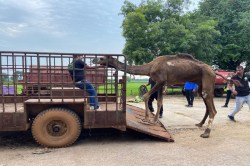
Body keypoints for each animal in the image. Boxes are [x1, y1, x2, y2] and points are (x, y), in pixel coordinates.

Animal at [93, 52, 228, 137]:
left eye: (102, 58)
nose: (94, 59)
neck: (150, 67)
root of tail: (214, 71)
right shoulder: (162, 84)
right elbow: (159, 101)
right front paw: (154, 120)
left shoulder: (160, 80)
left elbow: (145, 96)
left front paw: (146, 119)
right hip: (200, 83)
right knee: (206, 104)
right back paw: (199, 124)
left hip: (208, 80)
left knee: (212, 108)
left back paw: (206, 133)